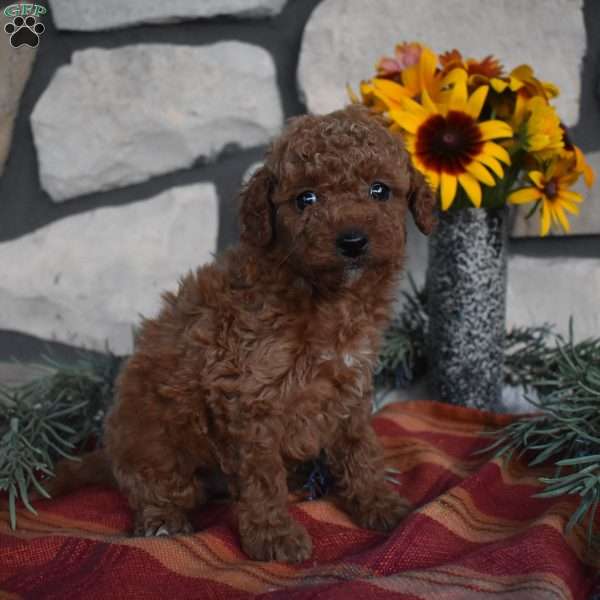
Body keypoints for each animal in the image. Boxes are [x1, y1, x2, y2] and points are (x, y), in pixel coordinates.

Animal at [47, 106, 434, 564]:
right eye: (306, 199)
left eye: (379, 190)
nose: (353, 241)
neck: (326, 298)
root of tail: (108, 453)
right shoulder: (246, 396)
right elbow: (262, 478)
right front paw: (274, 535)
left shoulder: (350, 387)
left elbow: (361, 451)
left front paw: (379, 503)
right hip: (152, 439)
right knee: (155, 487)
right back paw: (163, 520)